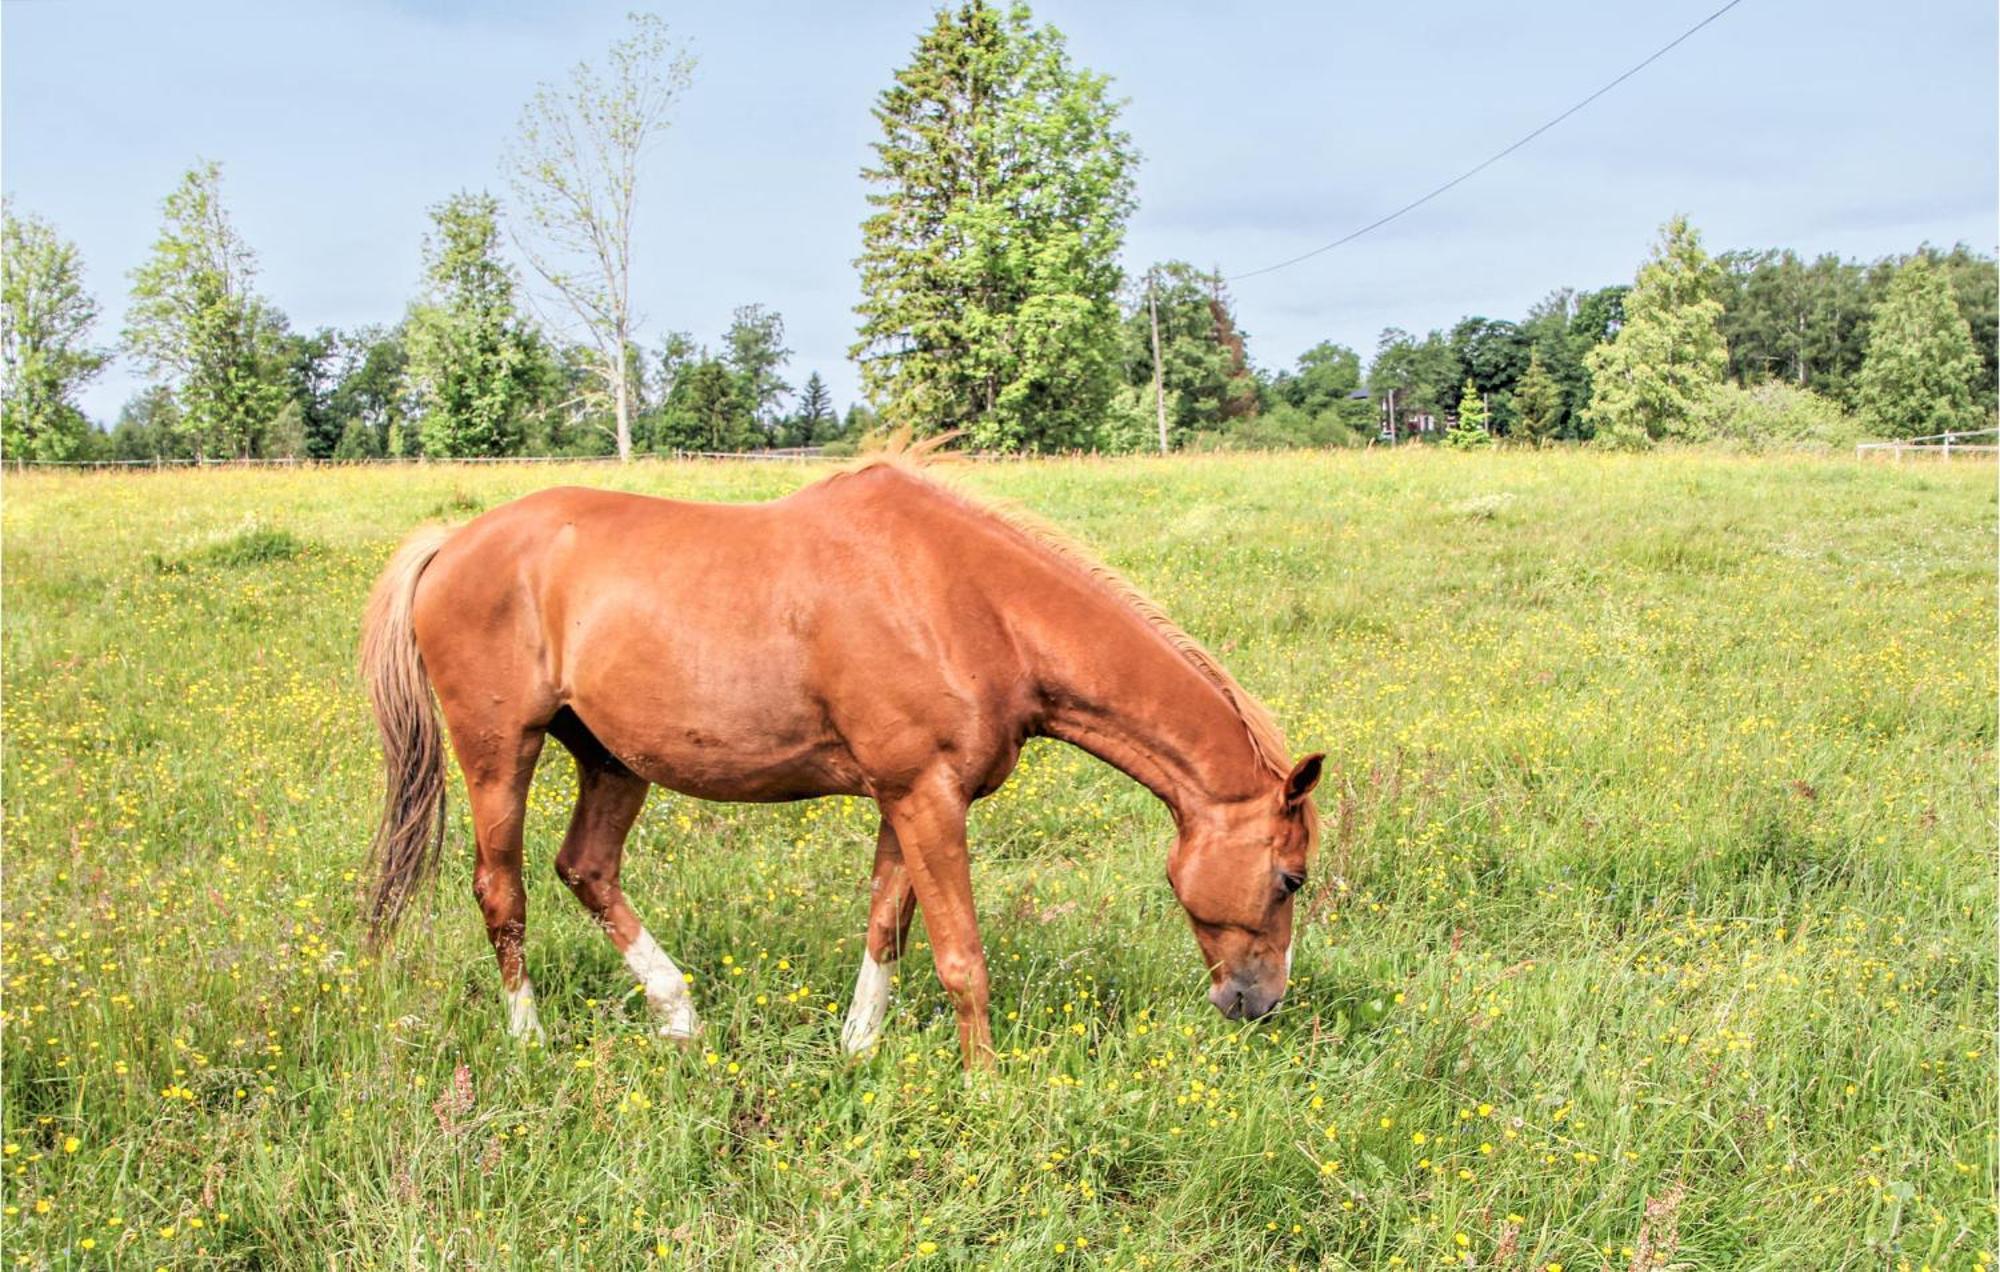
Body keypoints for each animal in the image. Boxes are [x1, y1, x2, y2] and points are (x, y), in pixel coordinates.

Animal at [364, 458, 1328, 1064]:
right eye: (1292, 878)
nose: (1261, 1002)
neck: (971, 605)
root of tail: (453, 542)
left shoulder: (911, 796)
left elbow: (886, 926)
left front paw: (859, 1048)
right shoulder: (924, 795)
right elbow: (960, 956)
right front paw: (988, 1087)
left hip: (611, 759)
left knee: (586, 868)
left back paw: (680, 1016)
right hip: (500, 754)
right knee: (503, 891)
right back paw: (529, 1038)